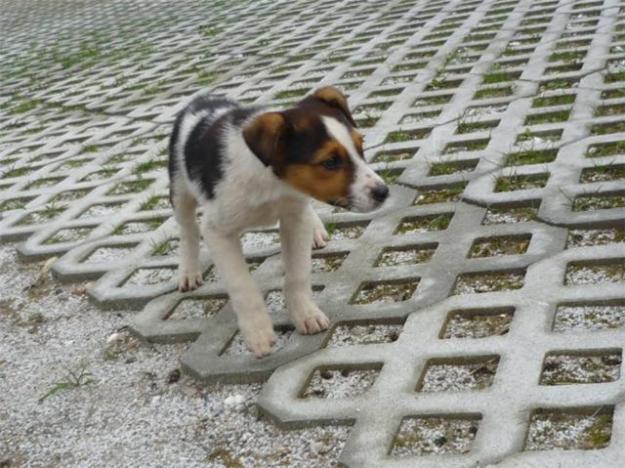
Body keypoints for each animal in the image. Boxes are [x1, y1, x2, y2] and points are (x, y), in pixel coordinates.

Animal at [168, 88, 388, 356]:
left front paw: (305, 313)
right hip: (180, 192)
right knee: (188, 229)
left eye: (360, 147)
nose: (383, 192)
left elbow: (298, 274)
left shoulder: (294, 218)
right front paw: (258, 332)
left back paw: (315, 230)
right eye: (330, 162)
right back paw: (189, 272)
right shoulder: (217, 232)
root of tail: (201, 99)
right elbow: (242, 286)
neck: (272, 181)